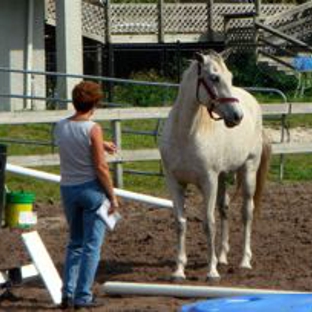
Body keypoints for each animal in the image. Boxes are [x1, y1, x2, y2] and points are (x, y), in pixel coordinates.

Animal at [160, 51, 272, 280]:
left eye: (230, 77)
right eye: (214, 78)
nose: (237, 116)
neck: (185, 135)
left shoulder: (208, 182)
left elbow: (208, 223)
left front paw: (211, 271)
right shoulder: (175, 183)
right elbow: (180, 223)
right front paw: (179, 270)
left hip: (248, 171)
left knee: (247, 212)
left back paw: (244, 261)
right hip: (223, 177)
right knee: (224, 209)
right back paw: (222, 257)